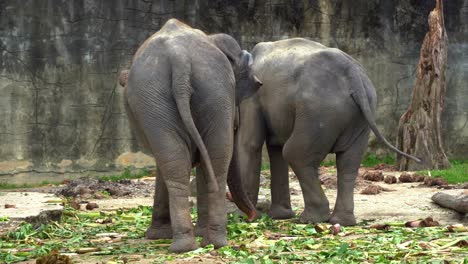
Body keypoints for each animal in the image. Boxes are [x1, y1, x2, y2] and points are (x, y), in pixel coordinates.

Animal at [119, 18, 260, 252]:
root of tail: (180, 57)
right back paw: (208, 242)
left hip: (174, 94)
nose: (251, 217)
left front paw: (158, 235)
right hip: (203, 90)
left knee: (182, 163)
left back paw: (190, 244)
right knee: (209, 161)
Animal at [230, 38, 420, 227]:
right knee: (348, 162)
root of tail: (354, 76)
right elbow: (272, 146)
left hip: (318, 112)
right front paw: (279, 216)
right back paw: (342, 221)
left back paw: (311, 219)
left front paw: (242, 217)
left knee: (294, 153)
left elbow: (250, 144)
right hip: (358, 114)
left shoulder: (252, 100)